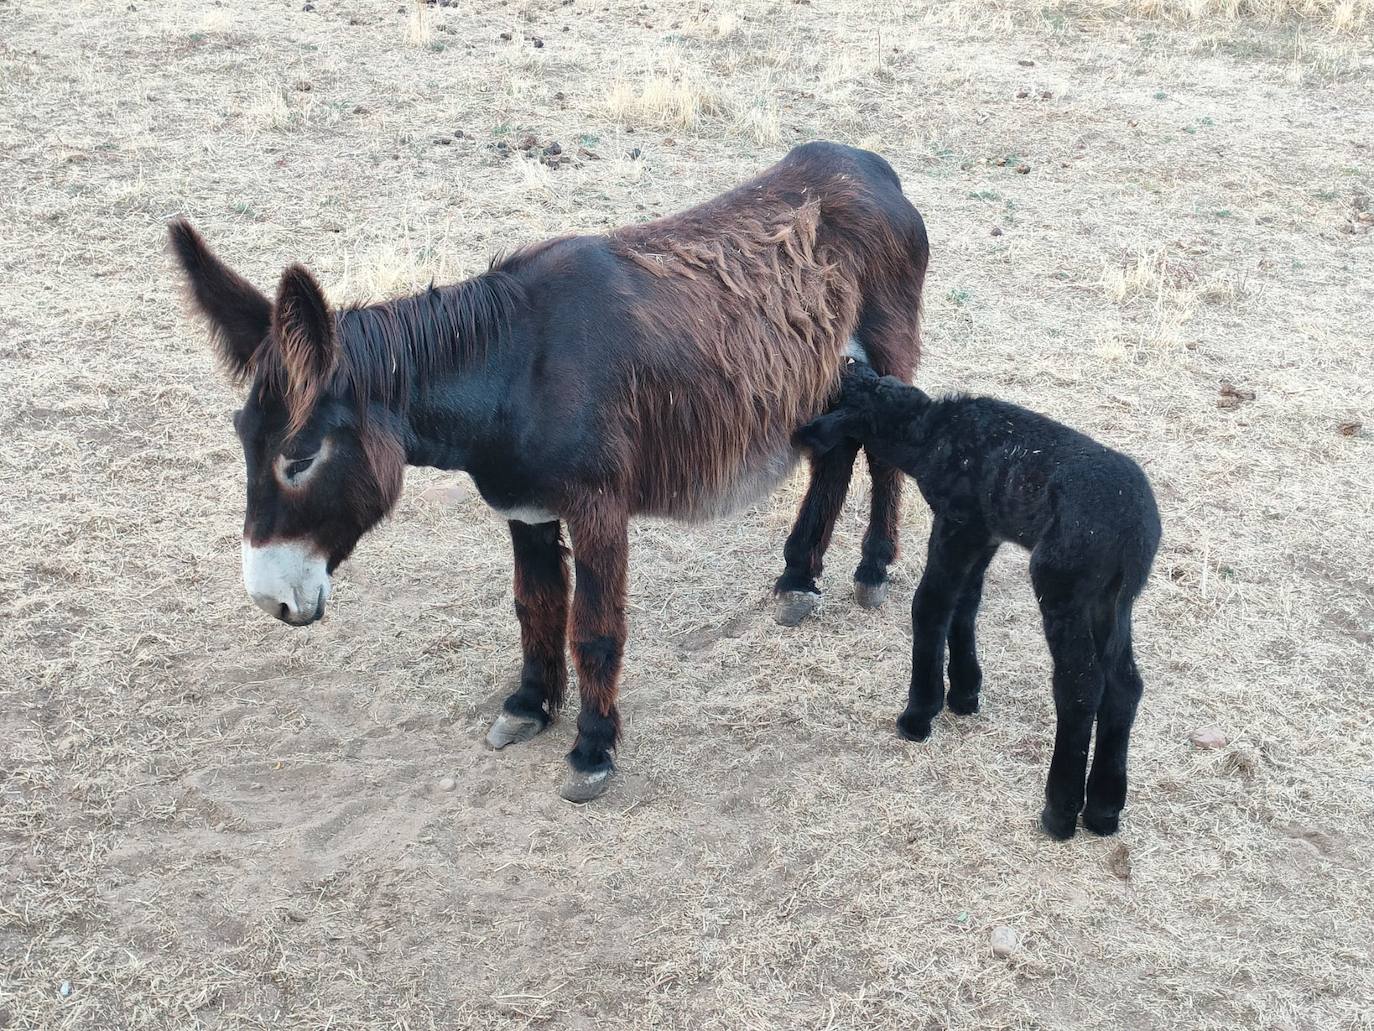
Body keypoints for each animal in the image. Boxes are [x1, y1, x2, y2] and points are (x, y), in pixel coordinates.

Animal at [796, 362, 1159, 841]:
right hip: (1115, 597)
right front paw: (965, 693)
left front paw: (919, 713)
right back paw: (1103, 809)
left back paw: (1059, 812)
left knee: (1080, 684)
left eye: (830, 400)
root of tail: (1133, 532)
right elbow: (964, 603)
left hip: (1064, 580)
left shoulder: (960, 519)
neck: (929, 434)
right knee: (1124, 682)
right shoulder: (986, 530)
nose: (800, 434)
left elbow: (931, 604)